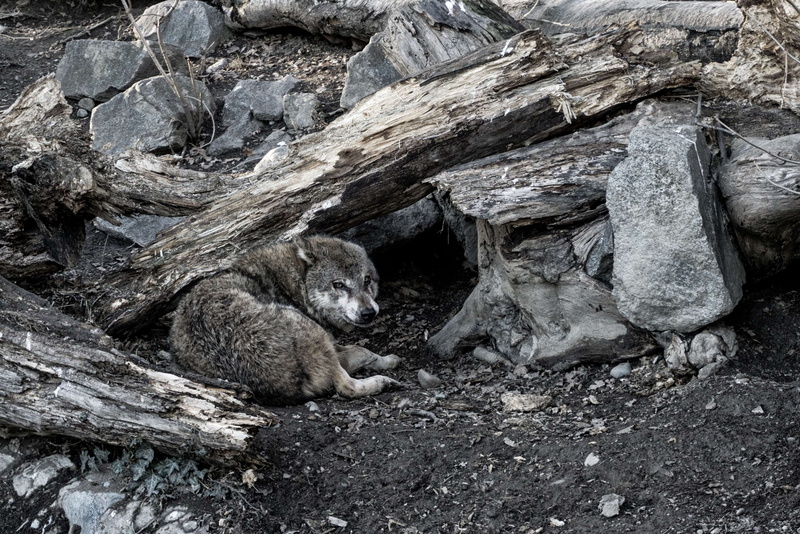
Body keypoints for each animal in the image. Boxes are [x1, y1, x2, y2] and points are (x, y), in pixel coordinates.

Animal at [169, 236, 400, 405]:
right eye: (339, 285)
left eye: (367, 280)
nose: (368, 313)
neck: (293, 286)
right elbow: (362, 351)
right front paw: (386, 361)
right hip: (304, 324)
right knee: (346, 387)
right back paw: (383, 382)